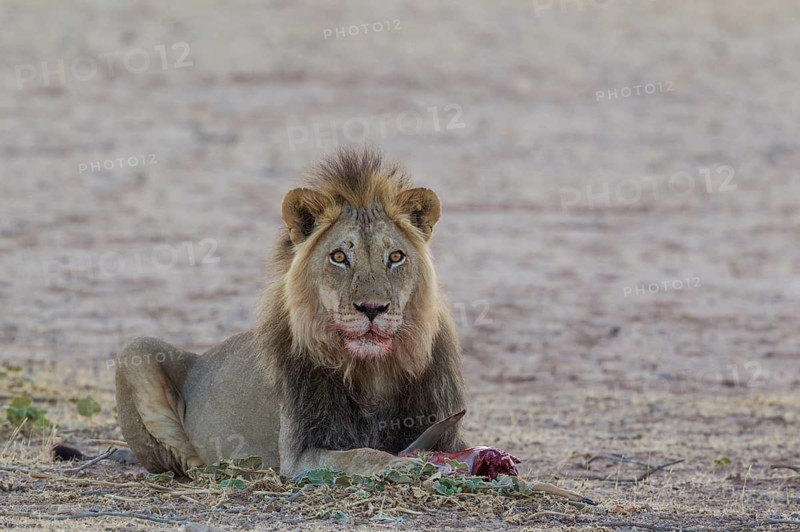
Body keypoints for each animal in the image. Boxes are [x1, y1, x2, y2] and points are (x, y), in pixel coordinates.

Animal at [114, 147, 468, 478]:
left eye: (395, 257)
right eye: (339, 257)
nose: (372, 308)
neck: (373, 372)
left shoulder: (447, 433)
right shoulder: (301, 454)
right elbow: (362, 454)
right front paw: (402, 465)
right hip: (134, 350)